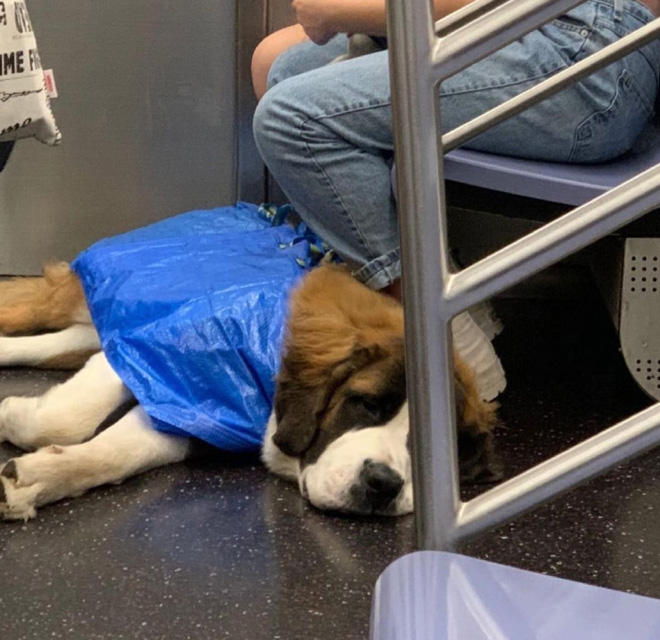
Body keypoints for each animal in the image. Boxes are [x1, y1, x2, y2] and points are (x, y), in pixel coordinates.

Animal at [0, 260, 500, 520]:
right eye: (366, 404)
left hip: (88, 331)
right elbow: (64, 420)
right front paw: (16, 420)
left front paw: (39, 479)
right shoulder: (155, 345)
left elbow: (121, 451)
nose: (383, 484)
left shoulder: (193, 403)